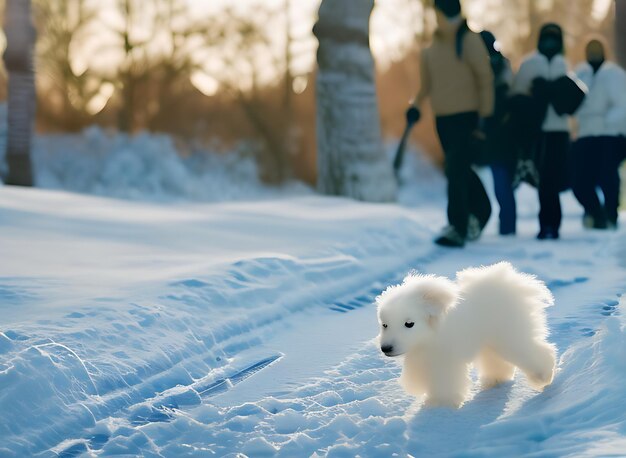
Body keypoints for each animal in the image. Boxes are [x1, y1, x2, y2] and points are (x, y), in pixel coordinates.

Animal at [376, 262, 556, 408]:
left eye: (409, 323)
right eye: (385, 325)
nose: (386, 348)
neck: (427, 339)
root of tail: (510, 283)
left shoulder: (445, 360)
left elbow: (445, 382)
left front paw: (440, 405)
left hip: (509, 333)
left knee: (531, 350)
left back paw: (544, 377)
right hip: (490, 339)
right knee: (496, 358)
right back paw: (495, 380)